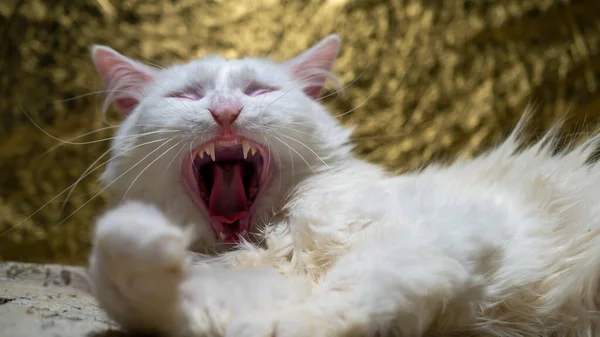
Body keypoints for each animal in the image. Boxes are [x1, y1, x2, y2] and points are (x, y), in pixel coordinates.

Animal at [86, 34, 600, 336]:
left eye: (258, 91)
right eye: (187, 96)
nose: (225, 110)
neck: (269, 240)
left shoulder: (444, 231)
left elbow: (347, 296)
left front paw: (291, 324)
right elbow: (129, 285)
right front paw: (147, 240)